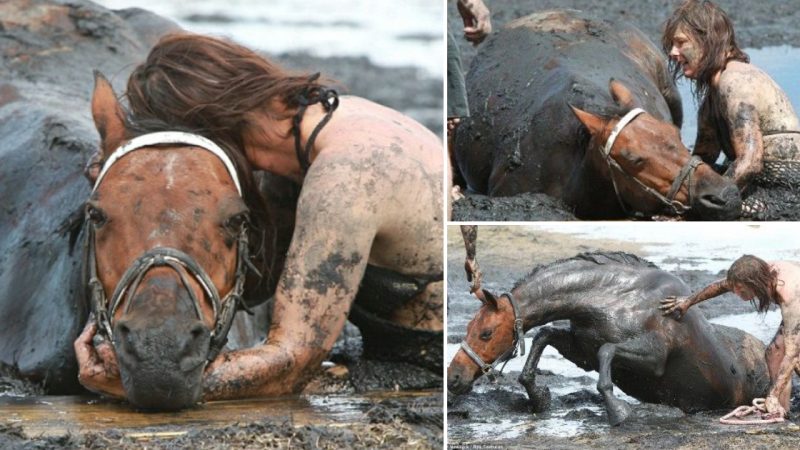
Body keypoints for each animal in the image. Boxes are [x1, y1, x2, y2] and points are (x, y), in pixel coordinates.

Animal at [446, 253, 764, 426]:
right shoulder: (582, 350)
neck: (616, 299)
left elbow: (607, 352)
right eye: (468, 328)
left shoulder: (655, 358)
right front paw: (539, 397)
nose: (454, 377)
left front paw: (617, 412)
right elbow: (544, 336)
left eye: (485, 333)